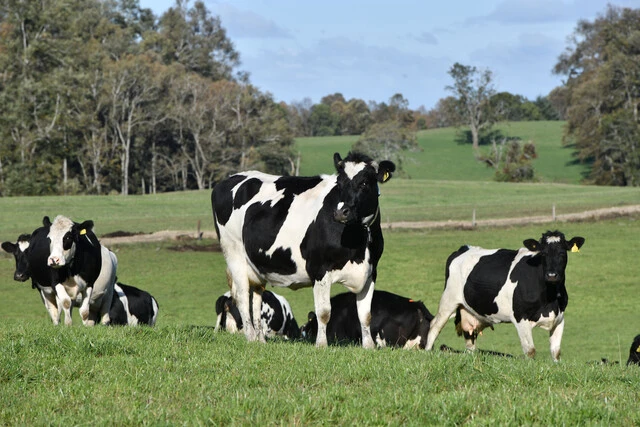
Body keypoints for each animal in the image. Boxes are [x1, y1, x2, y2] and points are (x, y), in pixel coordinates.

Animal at [211, 152, 395, 348]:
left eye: (365, 183)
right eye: (339, 183)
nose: (340, 212)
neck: (359, 241)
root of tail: (230, 178)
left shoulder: (370, 271)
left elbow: (365, 314)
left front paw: (369, 346)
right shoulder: (320, 269)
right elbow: (324, 312)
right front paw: (321, 345)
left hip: (256, 264)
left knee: (257, 296)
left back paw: (261, 340)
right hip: (234, 253)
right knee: (243, 297)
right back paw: (251, 337)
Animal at [425, 230, 585, 361]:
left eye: (562, 253)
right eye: (543, 253)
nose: (552, 275)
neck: (549, 298)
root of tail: (464, 248)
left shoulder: (559, 318)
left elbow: (556, 352)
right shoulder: (520, 318)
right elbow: (530, 351)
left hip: (468, 311)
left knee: (469, 340)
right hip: (448, 300)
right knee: (434, 327)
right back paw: (427, 353)